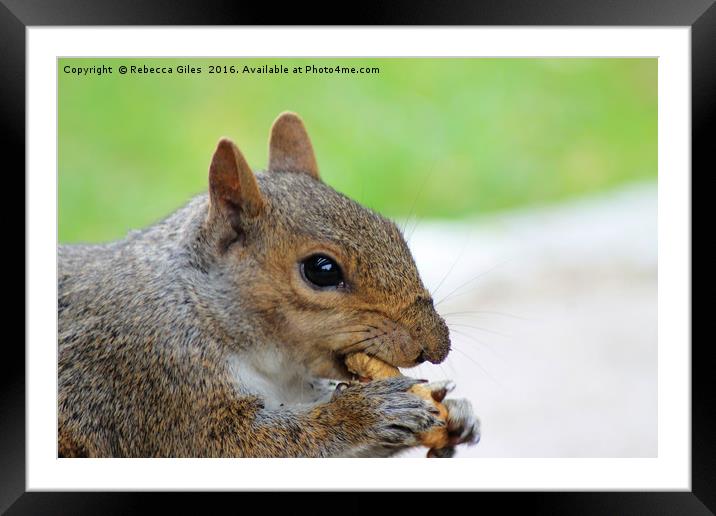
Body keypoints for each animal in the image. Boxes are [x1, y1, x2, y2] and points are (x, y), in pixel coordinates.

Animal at [57, 112, 482, 456]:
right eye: (322, 269)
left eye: (393, 232)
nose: (436, 345)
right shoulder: (161, 381)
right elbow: (239, 444)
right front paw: (366, 412)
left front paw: (456, 412)